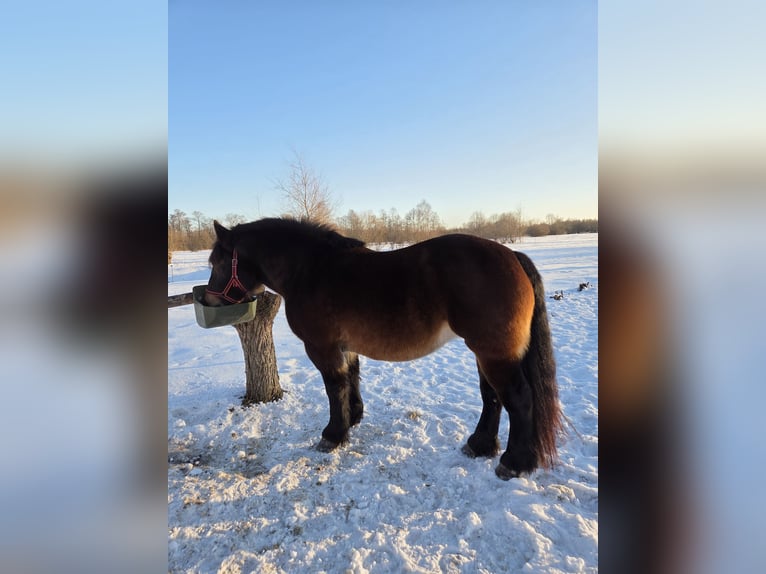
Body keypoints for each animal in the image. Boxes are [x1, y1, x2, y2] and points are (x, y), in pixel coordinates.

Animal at [204, 218, 562, 479]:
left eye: (217, 262)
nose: (208, 299)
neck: (311, 271)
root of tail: (512, 256)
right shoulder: (345, 346)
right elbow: (351, 378)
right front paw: (353, 418)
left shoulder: (321, 347)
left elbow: (334, 386)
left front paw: (333, 434)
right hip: (486, 352)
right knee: (492, 398)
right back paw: (479, 445)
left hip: (494, 354)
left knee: (518, 399)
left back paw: (513, 462)